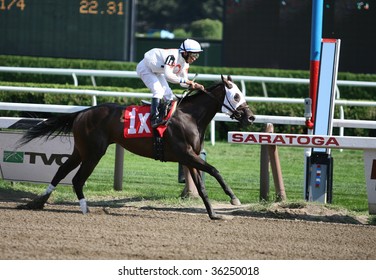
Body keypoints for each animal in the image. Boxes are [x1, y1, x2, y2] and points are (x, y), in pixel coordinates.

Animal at [17, 75, 256, 220]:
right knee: (77, 179)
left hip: (81, 150)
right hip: (94, 152)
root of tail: (83, 112)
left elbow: (203, 187)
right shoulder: (186, 154)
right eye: (236, 95)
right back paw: (84, 208)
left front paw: (214, 214)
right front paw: (233, 197)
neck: (190, 117)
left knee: (62, 170)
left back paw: (39, 202)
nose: (251, 117)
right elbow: (215, 170)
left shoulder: (190, 158)